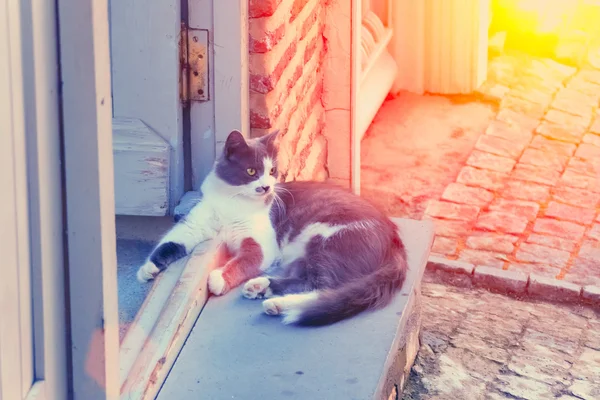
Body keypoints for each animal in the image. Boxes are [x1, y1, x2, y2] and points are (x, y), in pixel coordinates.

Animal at [136, 130, 408, 324]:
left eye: (273, 171)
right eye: (251, 171)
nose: (267, 187)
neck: (231, 203)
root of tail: (396, 243)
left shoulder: (261, 243)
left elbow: (243, 261)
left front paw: (219, 278)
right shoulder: (194, 224)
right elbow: (171, 242)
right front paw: (147, 269)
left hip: (326, 240)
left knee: (324, 287)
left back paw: (279, 304)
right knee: (305, 280)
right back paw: (262, 289)